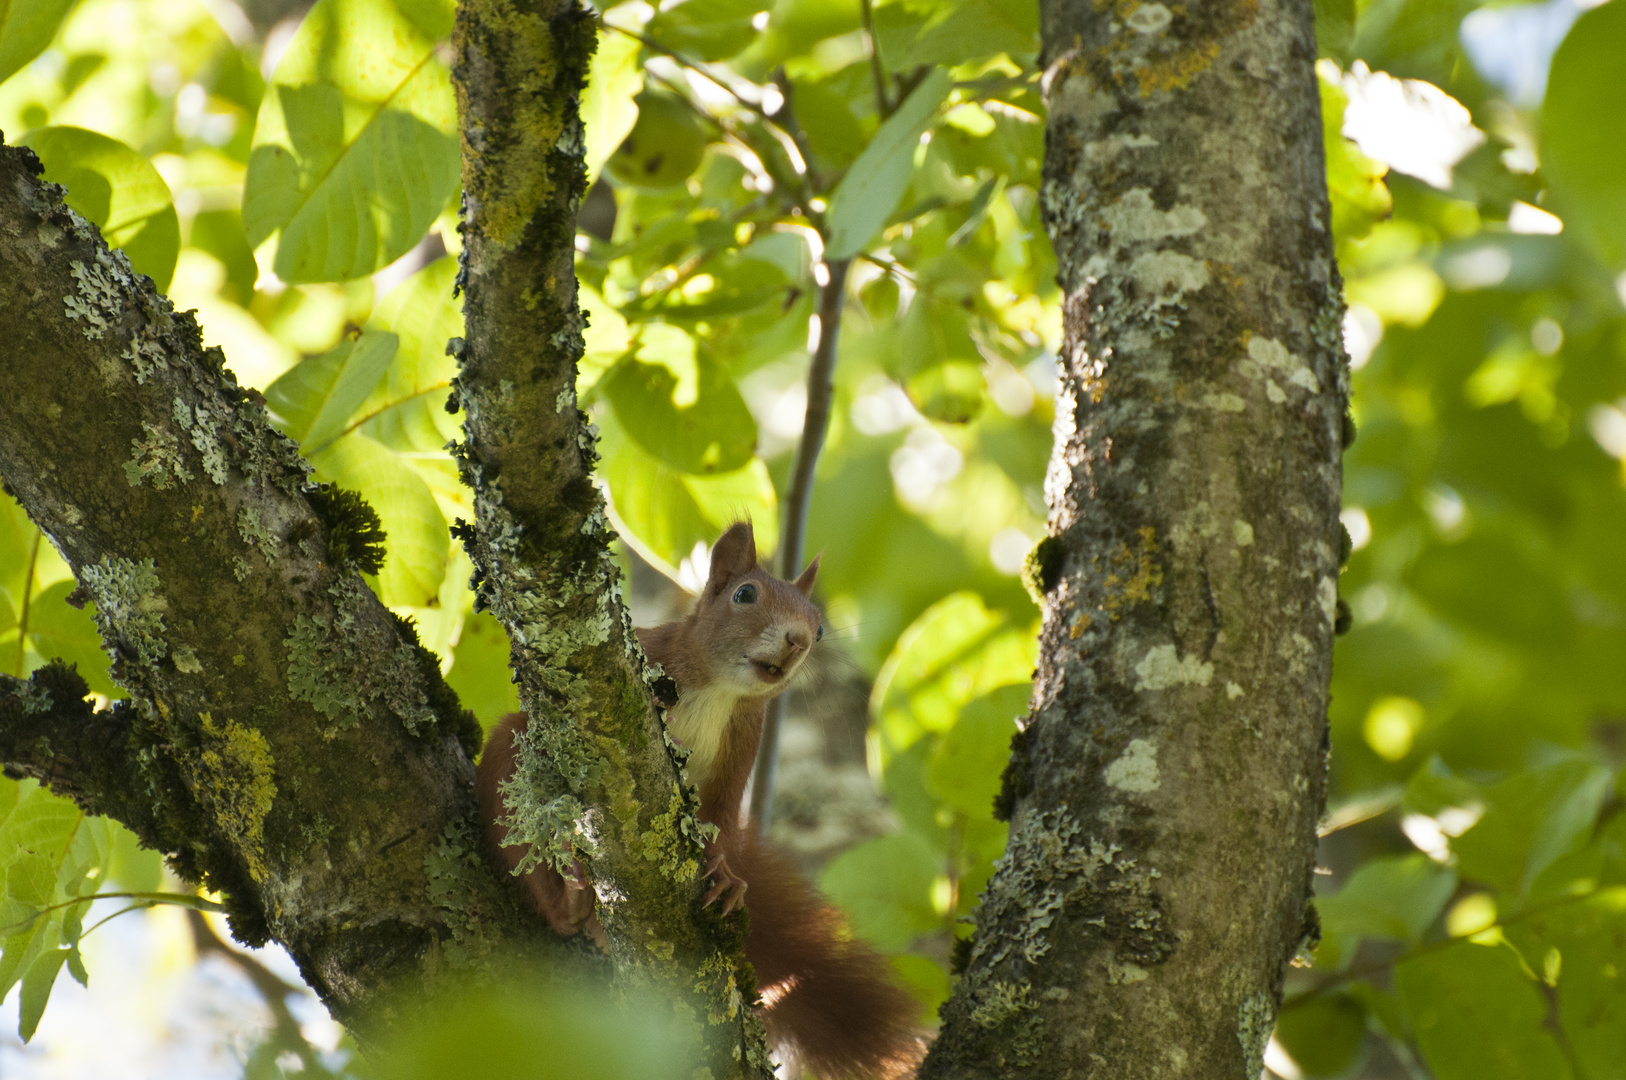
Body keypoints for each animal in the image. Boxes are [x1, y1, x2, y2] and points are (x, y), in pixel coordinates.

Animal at [474, 520, 923, 1073]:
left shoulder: (742, 745)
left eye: (819, 628)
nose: (798, 640)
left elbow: (721, 818)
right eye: (744, 594)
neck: (718, 692)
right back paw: (573, 899)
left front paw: (727, 879)